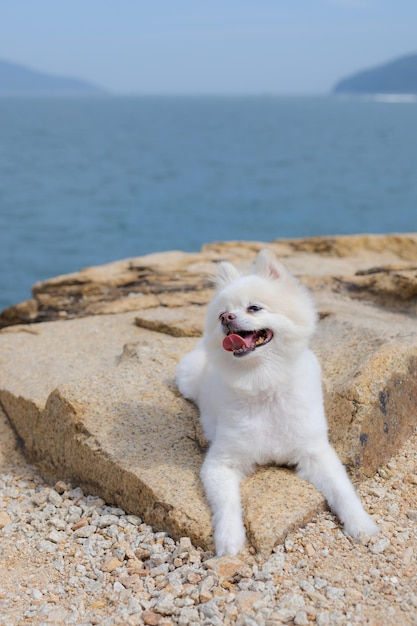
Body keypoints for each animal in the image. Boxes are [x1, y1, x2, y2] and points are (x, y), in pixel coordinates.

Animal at [176, 249, 376, 556]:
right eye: (222, 313)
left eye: (254, 308)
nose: (226, 317)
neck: (263, 383)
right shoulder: (221, 463)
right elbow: (227, 504)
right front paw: (229, 539)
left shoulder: (316, 453)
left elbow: (343, 491)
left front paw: (361, 524)